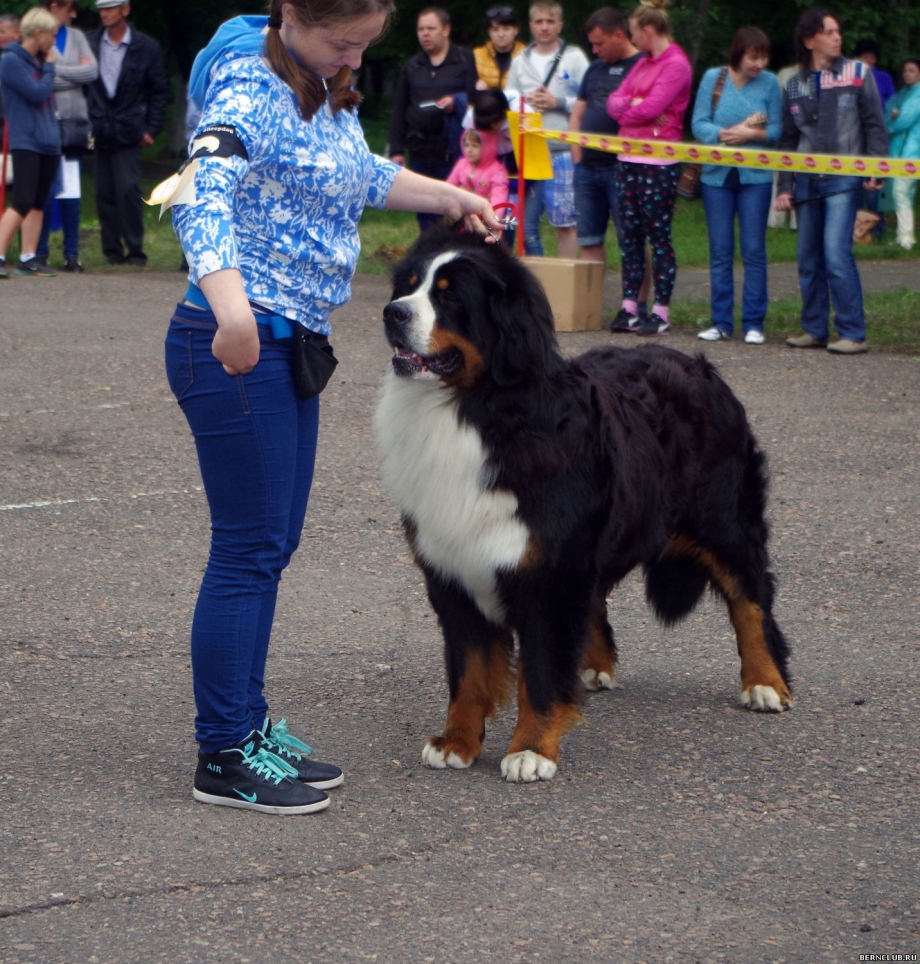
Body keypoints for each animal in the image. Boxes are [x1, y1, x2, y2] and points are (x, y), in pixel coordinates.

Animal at [374, 228, 792, 784]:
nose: (392, 313)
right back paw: (595, 666)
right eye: (410, 285)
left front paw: (531, 750)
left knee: (751, 598)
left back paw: (765, 682)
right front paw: (457, 742)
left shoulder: (548, 571)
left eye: (449, 297)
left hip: (723, 519)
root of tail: (699, 366)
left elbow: (540, 672)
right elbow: (469, 672)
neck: (476, 413)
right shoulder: (454, 570)